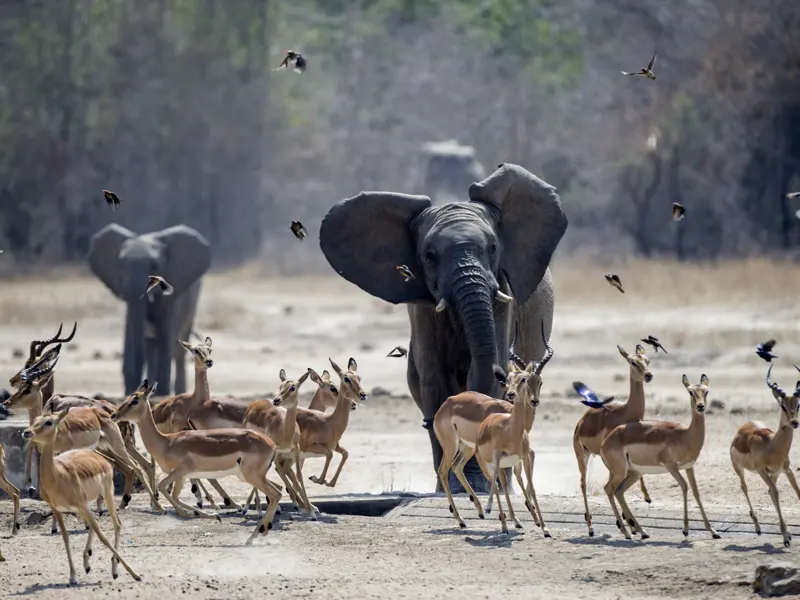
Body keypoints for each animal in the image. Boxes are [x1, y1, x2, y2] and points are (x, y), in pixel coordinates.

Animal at [86, 223, 209, 396]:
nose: (134, 387)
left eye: (154, 266)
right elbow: (132, 330)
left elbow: (166, 333)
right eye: (121, 266)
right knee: (151, 346)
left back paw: (177, 392)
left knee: (178, 349)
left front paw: (162, 393)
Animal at [318, 163, 568, 492]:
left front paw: (475, 485)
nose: (506, 375)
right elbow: (435, 381)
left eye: (493, 248)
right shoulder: (424, 309)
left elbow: (482, 379)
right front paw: (460, 486)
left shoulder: (503, 295)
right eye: (429, 256)